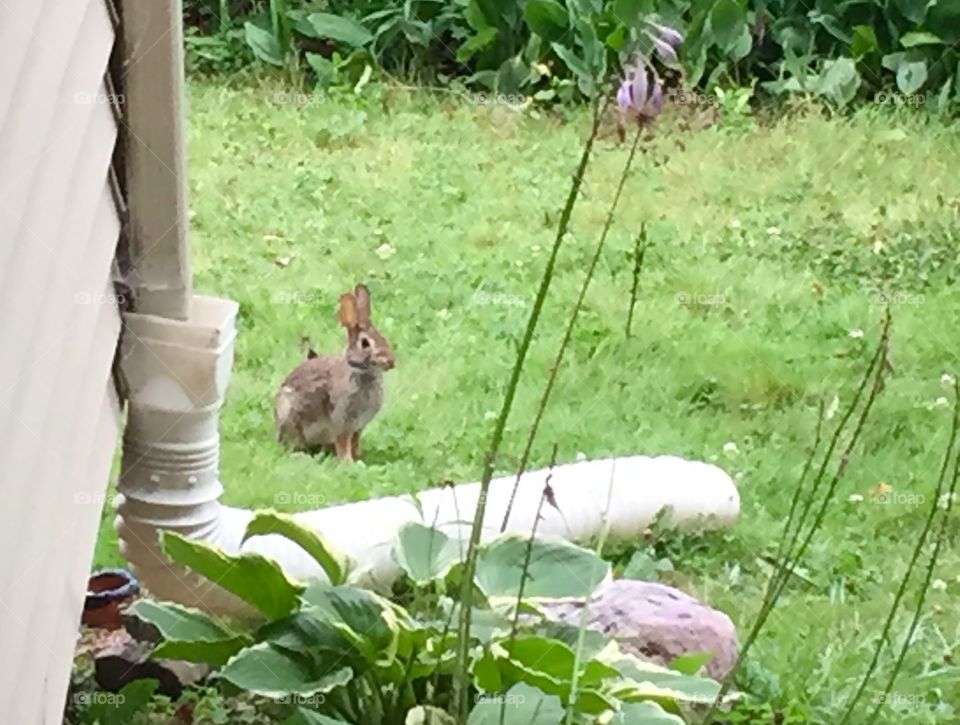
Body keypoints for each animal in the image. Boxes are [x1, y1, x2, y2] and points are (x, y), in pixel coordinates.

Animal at [274, 283, 395, 461]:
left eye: (383, 338)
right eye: (365, 343)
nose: (391, 361)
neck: (358, 370)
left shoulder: (358, 427)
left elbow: (355, 442)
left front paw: (358, 457)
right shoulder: (341, 422)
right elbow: (343, 443)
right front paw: (347, 462)